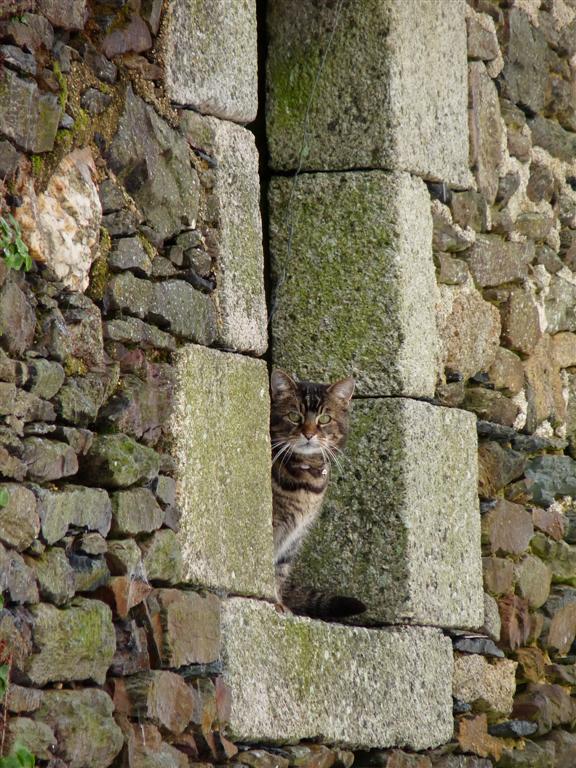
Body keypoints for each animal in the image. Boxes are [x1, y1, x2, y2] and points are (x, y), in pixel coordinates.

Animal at [268, 368, 364, 620]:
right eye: (294, 416)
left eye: (324, 419)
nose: (309, 434)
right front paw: (273, 603)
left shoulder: (294, 536)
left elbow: (279, 570)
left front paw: (279, 602)